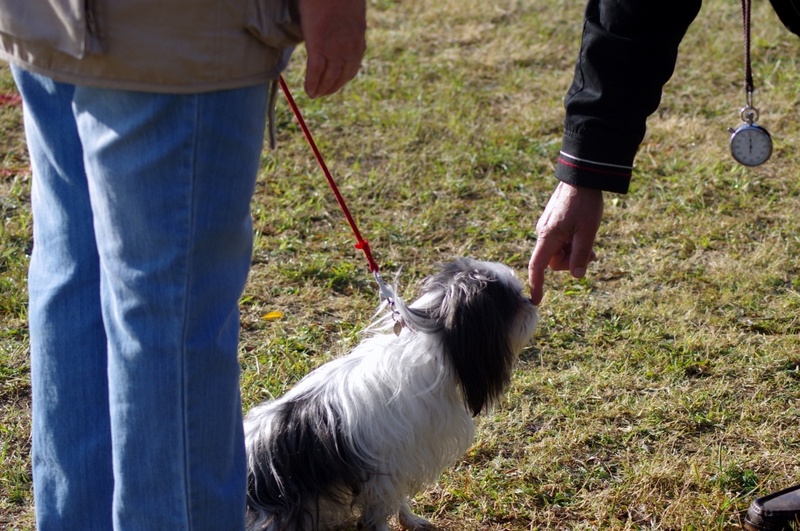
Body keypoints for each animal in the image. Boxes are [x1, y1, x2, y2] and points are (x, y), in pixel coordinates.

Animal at [244, 256, 540, 528]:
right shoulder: (386, 473)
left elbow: (399, 501)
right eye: (512, 302)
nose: (531, 301)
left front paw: (412, 520)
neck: (431, 347)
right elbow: (380, 513)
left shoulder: (401, 465)